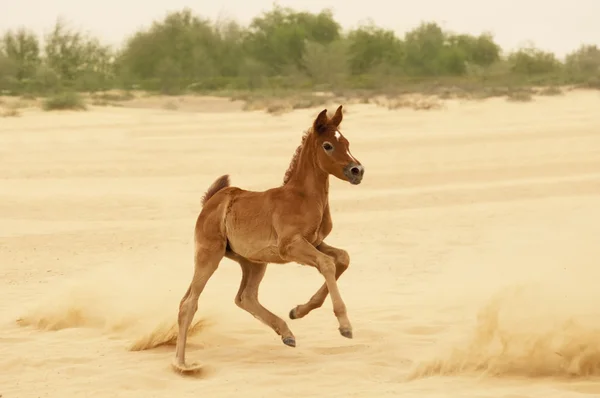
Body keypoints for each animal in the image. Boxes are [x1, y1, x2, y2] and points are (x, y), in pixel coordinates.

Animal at [171, 105, 364, 374]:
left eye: (346, 142)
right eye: (327, 145)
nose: (357, 171)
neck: (303, 198)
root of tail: (211, 201)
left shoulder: (315, 243)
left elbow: (342, 259)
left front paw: (298, 311)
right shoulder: (290, 246)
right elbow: (327, 264)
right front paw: (345, 326)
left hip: (253, 262)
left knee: (245, 297)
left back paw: (287, 333)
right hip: (209, 254)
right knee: (189, 303)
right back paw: (181, 364)